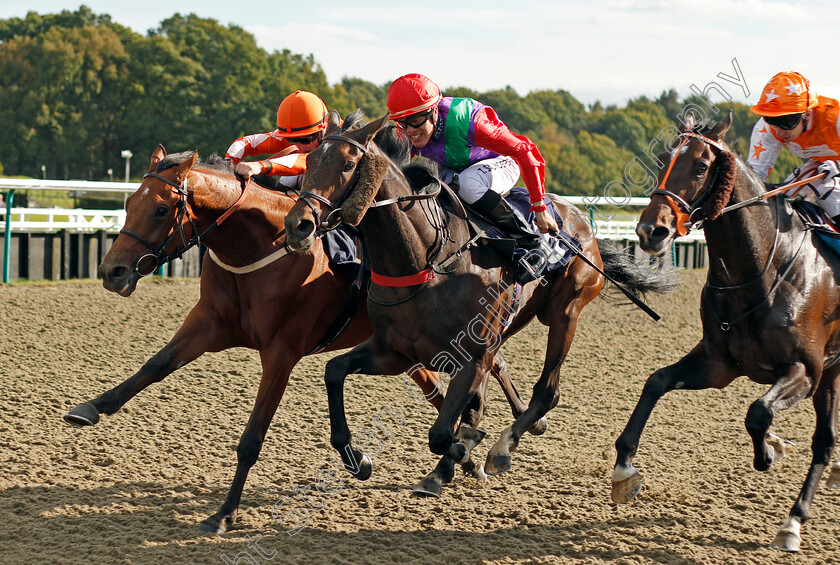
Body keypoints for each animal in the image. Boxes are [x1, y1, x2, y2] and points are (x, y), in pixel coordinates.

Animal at [62, 143, 532, 532]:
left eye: (161, 211)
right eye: (128, 203)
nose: (112, 271)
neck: (258, 247)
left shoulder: (281, 352)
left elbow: (252, 438)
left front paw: (224, 513)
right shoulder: (208, 323)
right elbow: (155, 364)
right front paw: (91, 407)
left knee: (473, 376)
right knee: (444, 388)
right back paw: (458, 456)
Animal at [284, 111, 676, 494]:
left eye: (349, 164)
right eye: (311, 159)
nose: (297, 224)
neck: (425, 261)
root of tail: (581, 221)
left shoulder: (470, 357)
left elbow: (443, 433)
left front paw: (462, 452)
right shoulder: (395, 352)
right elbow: (334, 371)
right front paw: (358, 458)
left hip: (565, 313)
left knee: (547, 391)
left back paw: (502, 447)